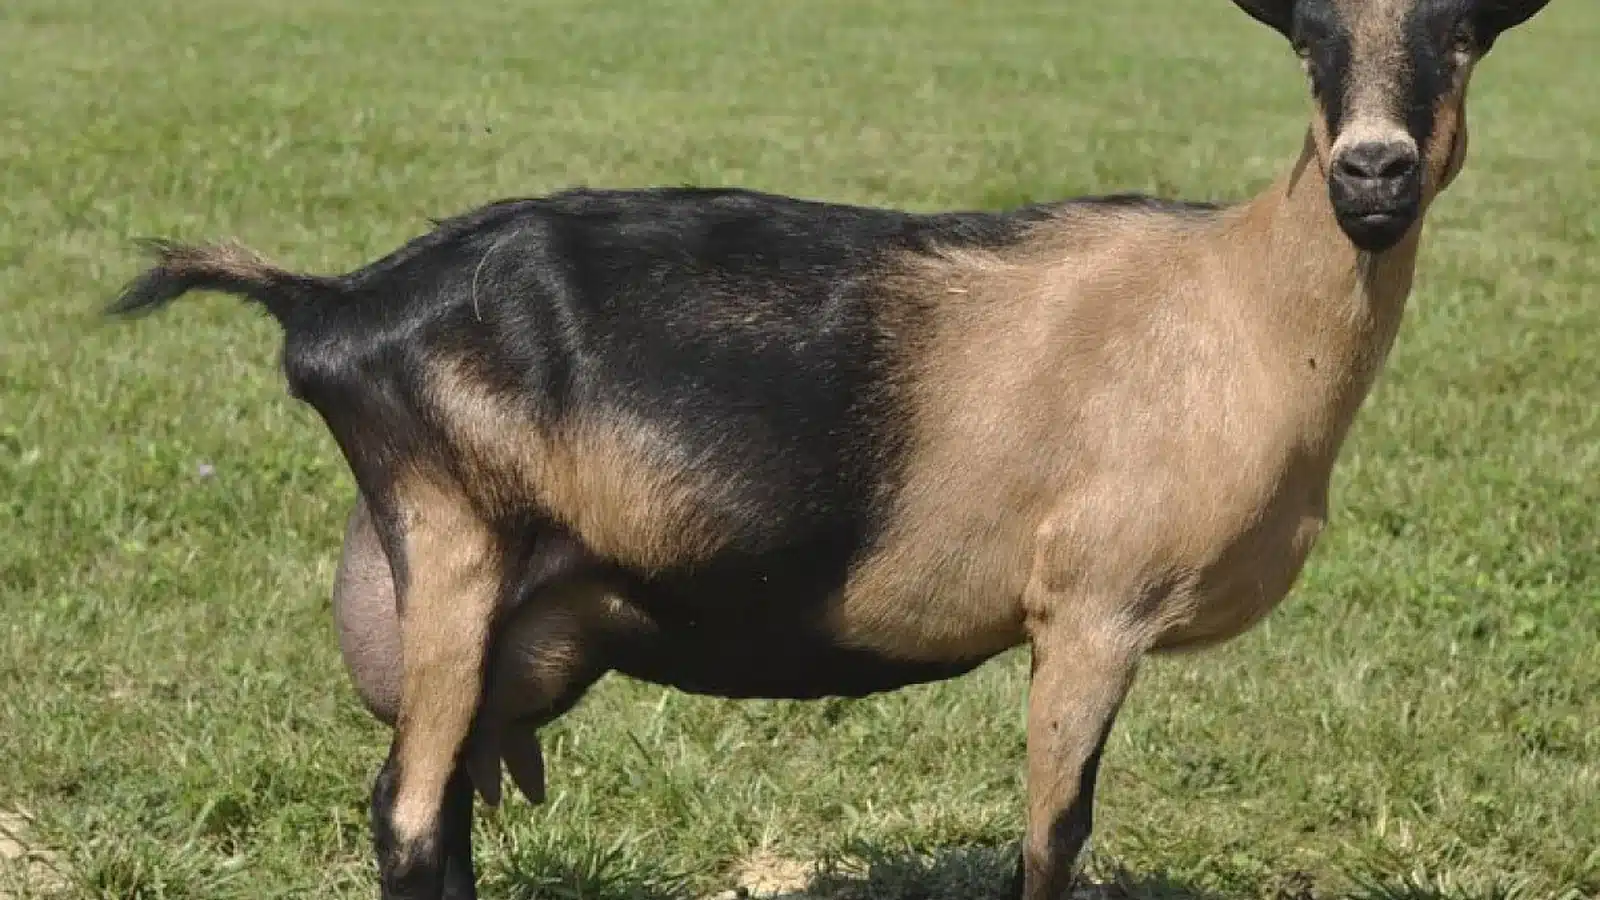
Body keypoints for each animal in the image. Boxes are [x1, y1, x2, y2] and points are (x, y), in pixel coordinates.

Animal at [106, 1, 1554, 897]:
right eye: (1310, 35)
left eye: (1463, 31)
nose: (1372, 174)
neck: (1236, 302)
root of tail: (338, 307)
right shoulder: (1094, 606)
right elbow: (1053, 842)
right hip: (453, 534)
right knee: (410, 821)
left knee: (443, 800)